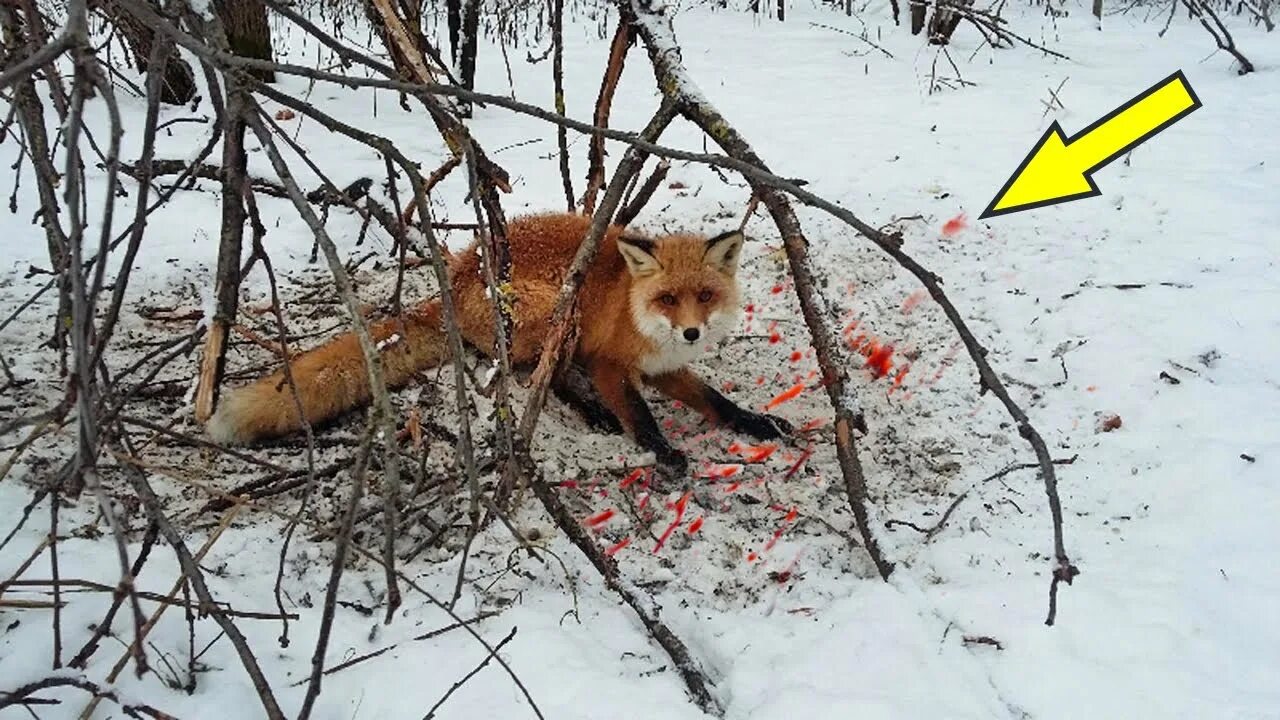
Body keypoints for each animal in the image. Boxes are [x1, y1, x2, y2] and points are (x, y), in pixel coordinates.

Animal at [206, 210, 788, 474]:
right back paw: (591, 411)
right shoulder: (610, 362)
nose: (691, 331)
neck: (634, 310)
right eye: (668, 298)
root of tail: (458, 273)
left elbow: (715, 400)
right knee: (538, 377)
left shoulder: (664, 365)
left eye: (705, 296)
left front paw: (758, 423)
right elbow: (637, 412)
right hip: (560, 315)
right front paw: (662, 451)